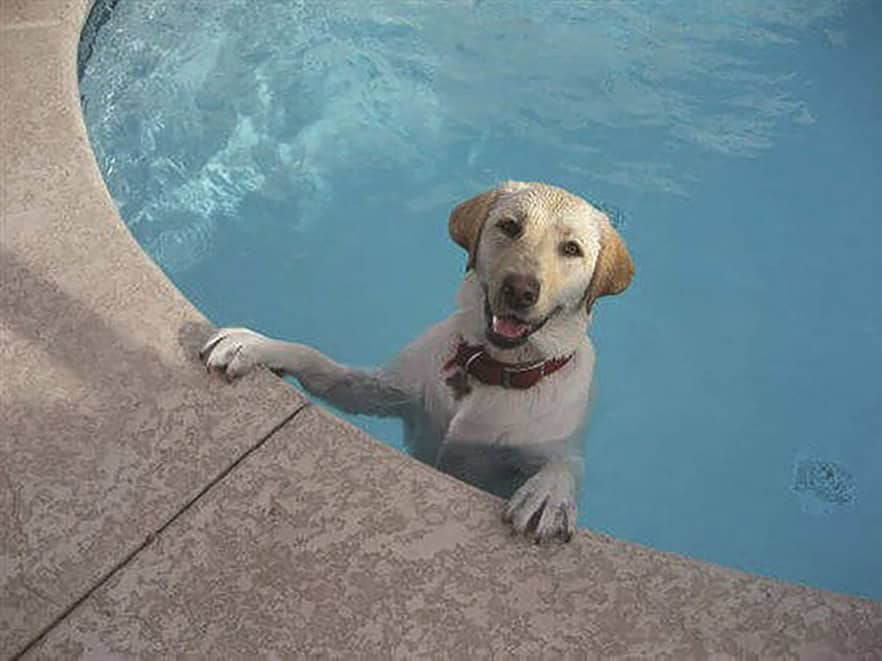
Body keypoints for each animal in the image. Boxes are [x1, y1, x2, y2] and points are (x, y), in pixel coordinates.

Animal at [201, 180, 632, 540]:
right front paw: (258, 345)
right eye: (510, 227)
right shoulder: (386, 393)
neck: (488, 368)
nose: (520, 290)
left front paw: (549, 493)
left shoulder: (539, 449)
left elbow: (565, 465)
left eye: (571, 249)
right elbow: (317, 360)